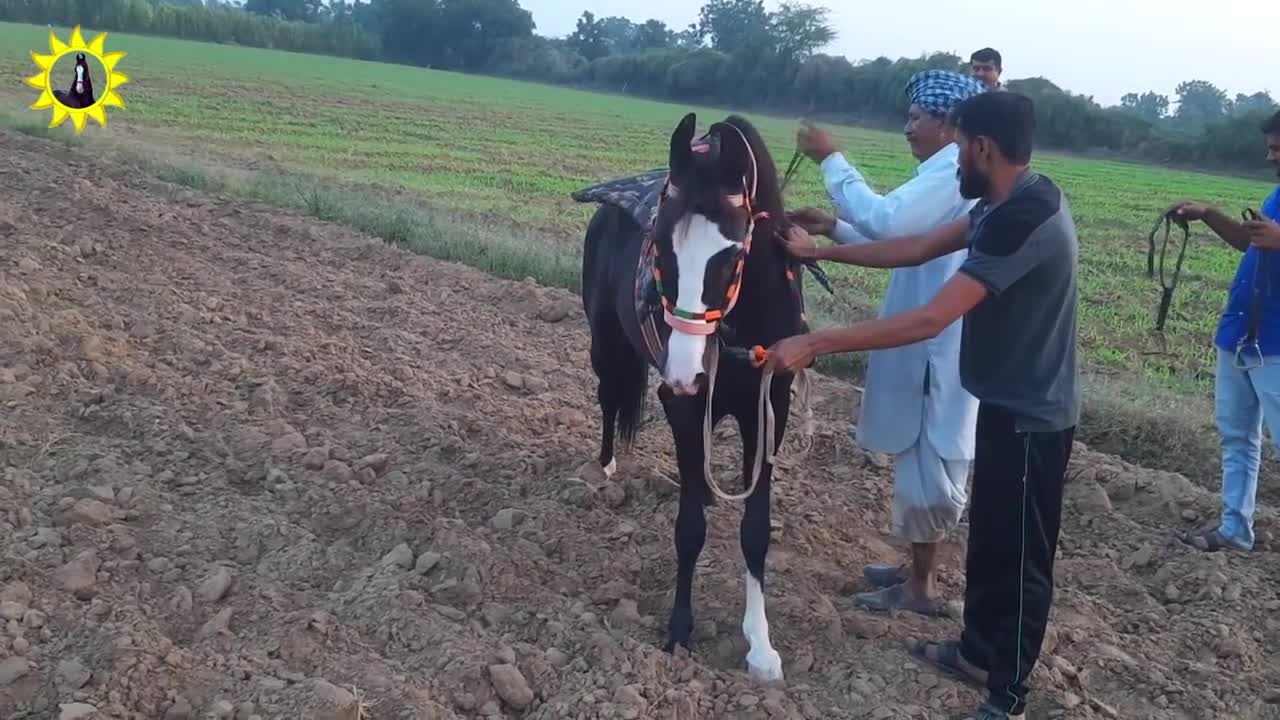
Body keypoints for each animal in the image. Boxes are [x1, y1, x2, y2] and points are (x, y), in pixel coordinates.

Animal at [576, 112, 803, 676]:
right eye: (659, 242)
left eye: (734, 252)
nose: (686, 372)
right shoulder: (682, 406)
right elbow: (689, 529)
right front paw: (680, 631)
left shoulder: (771, 411)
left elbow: (755, 530)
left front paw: (761, 647)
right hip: (604, 343)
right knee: (608, 396)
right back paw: (604, 466)